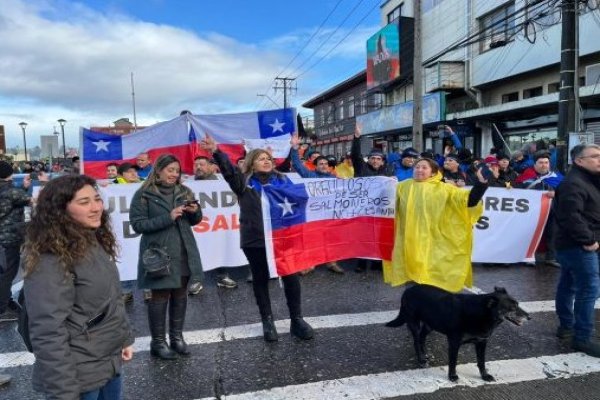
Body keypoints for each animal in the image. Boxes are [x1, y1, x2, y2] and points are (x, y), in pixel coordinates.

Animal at [384, 284, 528, 382]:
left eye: (518, 304)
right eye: (512, 308)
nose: (529, 317)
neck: (481, 313)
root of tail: (408, 290)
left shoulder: (481, 343)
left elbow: (481, 362)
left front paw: (485, 375)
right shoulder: (454, 343)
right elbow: (453, 362)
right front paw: (452, 376)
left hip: (431, 324)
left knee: (422, 337)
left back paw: (425, 353)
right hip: (414, 323)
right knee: (416, 340)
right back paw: (421, 359)